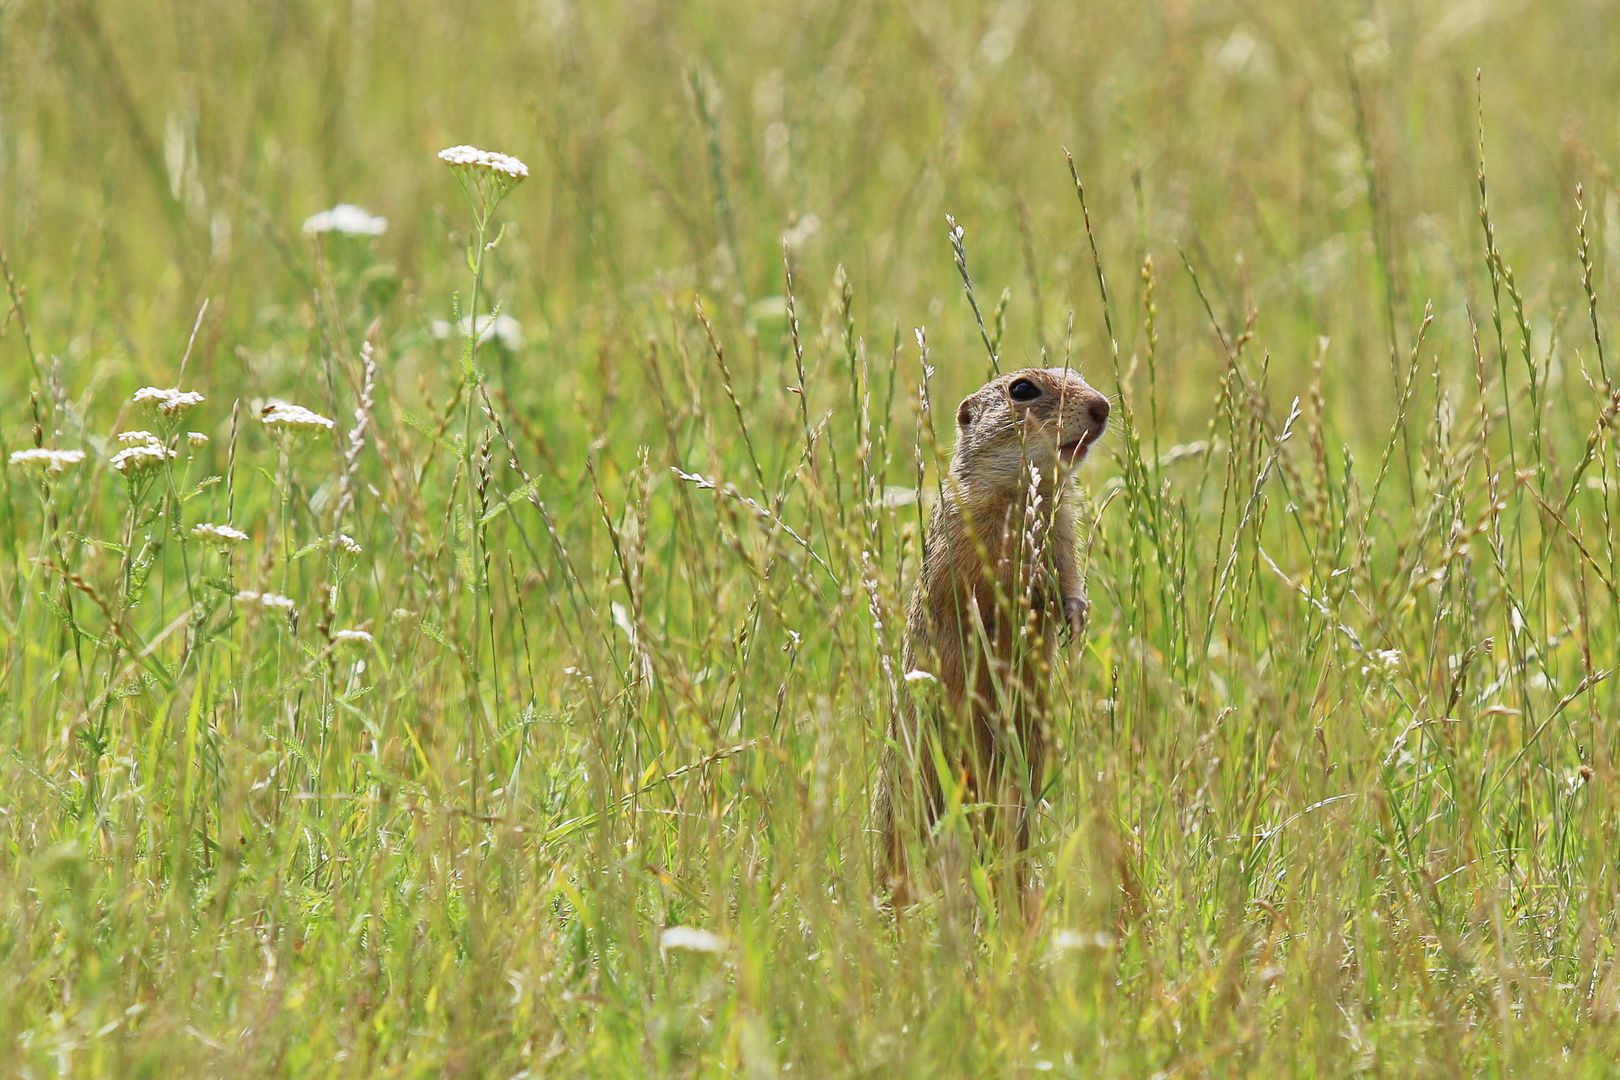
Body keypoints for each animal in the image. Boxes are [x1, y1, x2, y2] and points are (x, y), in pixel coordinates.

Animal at [874, 365, 1114, 906]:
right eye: (1022, 389)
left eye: (1076, 374)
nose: (1103, 406)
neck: (1022, 495)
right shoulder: (963, 537)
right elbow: (979, 589)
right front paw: (1028, 596)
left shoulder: (1062, 526)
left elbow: (1070, 575)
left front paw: (1075, 616)